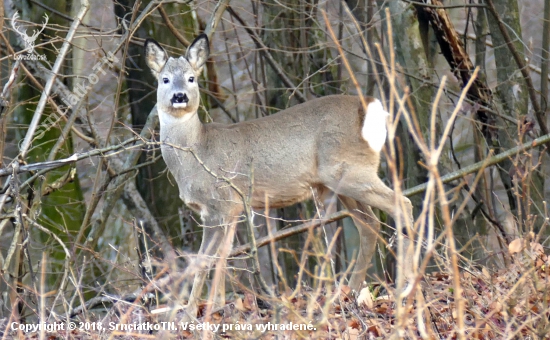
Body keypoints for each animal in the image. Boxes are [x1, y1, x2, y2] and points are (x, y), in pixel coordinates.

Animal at [146, 33, 414, 318]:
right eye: (164, 79)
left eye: (191, 78)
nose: (179, 96)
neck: (195, 151)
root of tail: (372, 111)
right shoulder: (232, 209)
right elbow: (223, 256)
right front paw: (216, 306)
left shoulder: (219, 203)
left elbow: (204, 259)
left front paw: (191, 312)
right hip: (341, 181)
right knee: (370, 224)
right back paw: (351, 293)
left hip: (349, 170)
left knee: (401, 203)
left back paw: (405, 287)